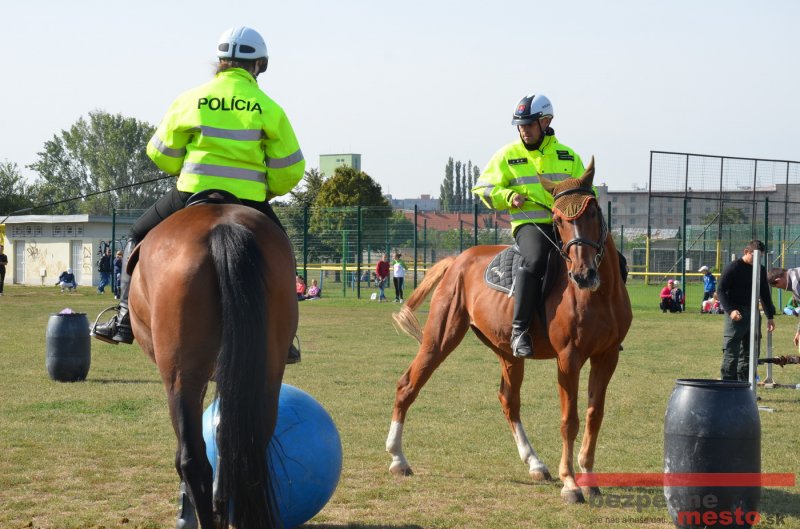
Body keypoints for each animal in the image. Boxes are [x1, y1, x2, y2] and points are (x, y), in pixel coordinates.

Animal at [387, 159, 632, 503]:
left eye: (593, 212)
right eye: (558, 219)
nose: (583, 274)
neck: (597, 295)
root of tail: (457, 260)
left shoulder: (607, 357)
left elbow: (594, 416)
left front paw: (589, 479)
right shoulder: (568, 358)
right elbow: (569, 420)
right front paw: (570, 483)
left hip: (508, 352)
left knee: (508, 399)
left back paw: (535, 464)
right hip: (439, 339)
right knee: (407, 385)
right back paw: (398, 458)